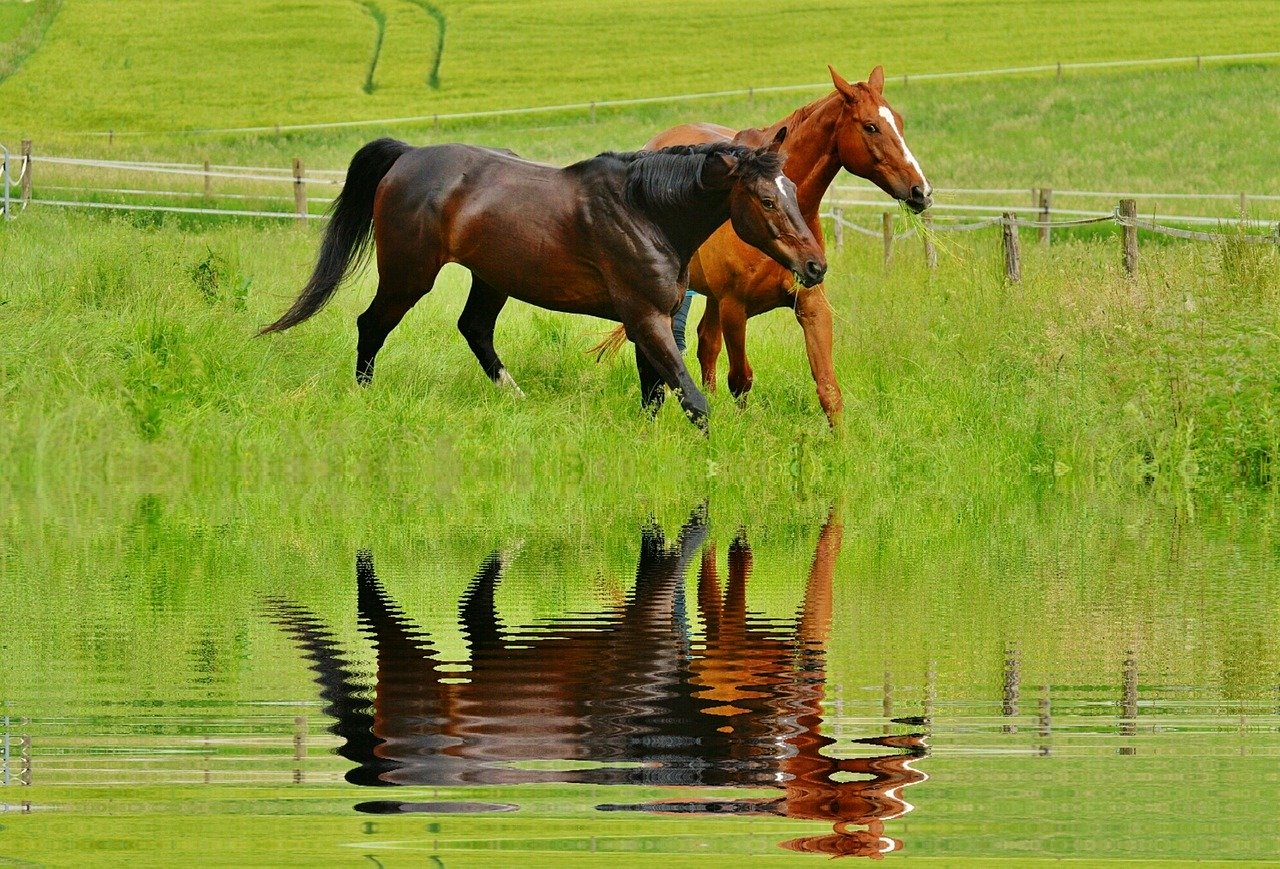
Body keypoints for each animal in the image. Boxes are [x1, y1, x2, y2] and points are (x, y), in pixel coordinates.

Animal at [257, 133, 829, 427]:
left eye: (792, 190)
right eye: (767, 199)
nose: (815, 267)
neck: (646, 211)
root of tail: (409, 156)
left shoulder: (655, 320)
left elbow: (655, 395)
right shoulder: (645, 319)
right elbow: (692, 398)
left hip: (491, 279)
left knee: (474, 328)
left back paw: (515, 398)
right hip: (408, 275)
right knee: (371, 325)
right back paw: (365, 396)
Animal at [593, 66, 936, 427]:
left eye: (899, 122)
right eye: (871, 126)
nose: (921, 191)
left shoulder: (812, 304)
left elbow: (828, 388)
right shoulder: (735, 308)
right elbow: (740, 379)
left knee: (706, 344)